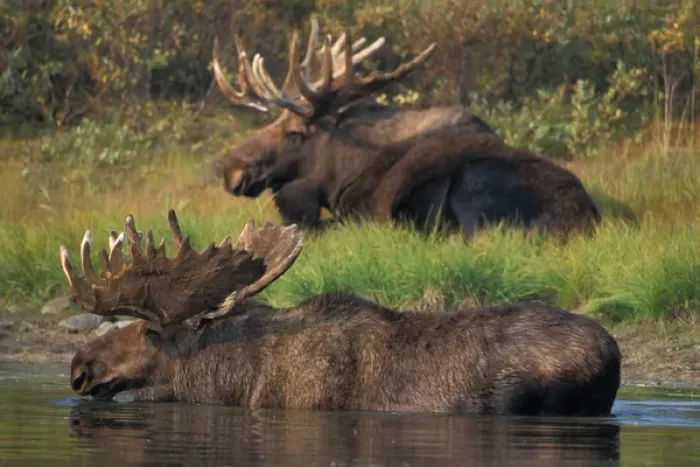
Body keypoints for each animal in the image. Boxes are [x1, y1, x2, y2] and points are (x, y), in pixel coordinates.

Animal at [210, 19, 601, 238]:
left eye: (295, 133)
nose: (231, 169)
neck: (337, 174)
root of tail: (587, 217)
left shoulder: (359, 213)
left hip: (473, 185)